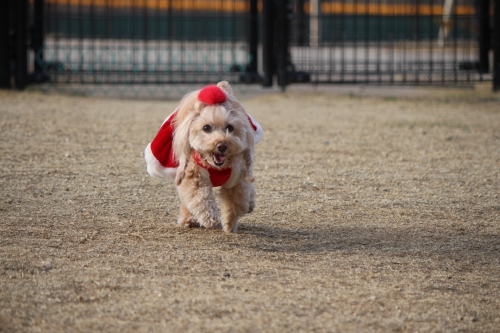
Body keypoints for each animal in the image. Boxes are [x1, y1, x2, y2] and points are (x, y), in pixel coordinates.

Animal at [144, 81, 264, 231]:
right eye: (206, 128)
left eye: (230, 128)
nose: (221, 145)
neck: (216, 168)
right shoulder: (193, 176)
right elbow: (199, 197)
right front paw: (210, 219)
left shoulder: (236, 179)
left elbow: (235, 202)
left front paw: (229, 224)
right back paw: (188, 219)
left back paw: (250, 203)